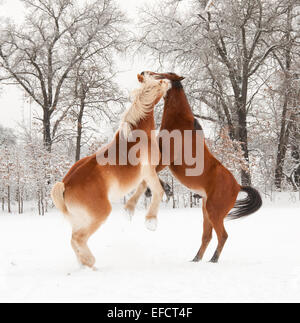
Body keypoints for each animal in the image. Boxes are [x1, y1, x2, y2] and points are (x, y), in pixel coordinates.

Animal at [50, 74, 170, 270]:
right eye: (159, 82)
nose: (168, 82)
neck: (138, 136)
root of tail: (65, 185)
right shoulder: (149, 171)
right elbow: (158, 191)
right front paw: (151, 221)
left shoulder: (145, 175)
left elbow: (143, 188)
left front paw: (130, 210)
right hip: (100, 214)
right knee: (78, 239)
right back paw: (91, 263)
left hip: (79, 219)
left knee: (74, 240)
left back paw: (85, 265)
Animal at [124, 71, 262, 264]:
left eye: (160, 74)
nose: (143, 73)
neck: (179, 123)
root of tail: (238, 186)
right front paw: (163, 189)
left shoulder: (165, 159)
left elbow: (150, 173)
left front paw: (164, 189)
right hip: (206, 211)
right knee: (207, 236)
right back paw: (196, 259)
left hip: (214, 212)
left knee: (222, 236)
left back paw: (213, 260)